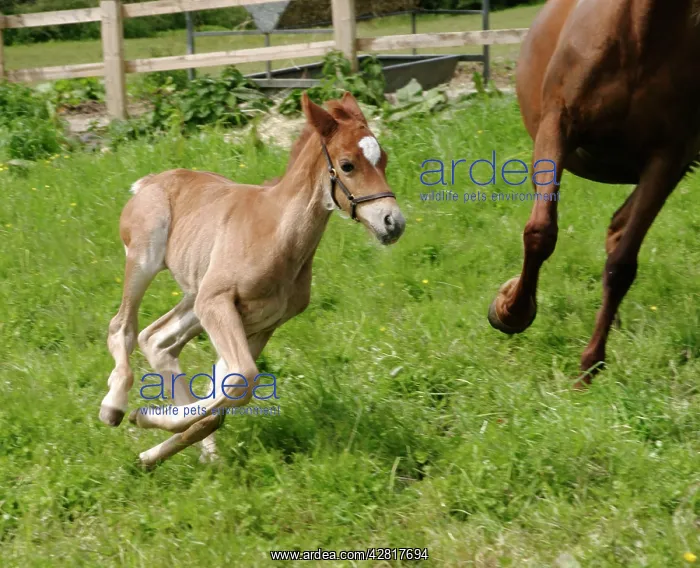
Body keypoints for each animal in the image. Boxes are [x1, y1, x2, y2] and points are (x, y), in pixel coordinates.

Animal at [99, 92, 406, 468]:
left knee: (157, 339)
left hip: (196, 296)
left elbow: (226, 392)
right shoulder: (218, 303)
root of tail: (150, 181)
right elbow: (242, 378)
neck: (277, 232)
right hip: (147, 260)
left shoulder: (261, 323)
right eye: (347, 165)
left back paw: (199, 450)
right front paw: (144, 417)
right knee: (123, 327)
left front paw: (153, 446)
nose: (393, 222)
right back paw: (114, 406)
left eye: (384, 159)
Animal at [487, 0, 700, 386]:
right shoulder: (558, 126)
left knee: (618, 230)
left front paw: (589, 367)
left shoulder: (668, 159)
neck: (643, 32)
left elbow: (622, 265)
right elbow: (540, 234)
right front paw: (510, 310)